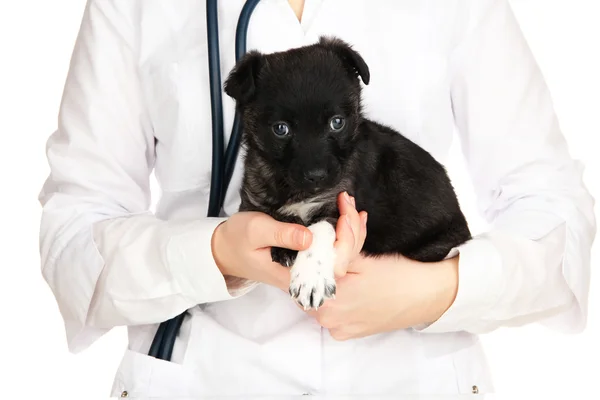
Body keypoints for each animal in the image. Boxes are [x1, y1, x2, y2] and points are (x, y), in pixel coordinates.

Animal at [223, 36, 472, 310]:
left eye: (337, 122)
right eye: (281, 129)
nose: (317, 175)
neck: (296, 190)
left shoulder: (339, 204)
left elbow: (318, 229)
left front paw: (310, 277)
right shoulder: (251, 204)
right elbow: (276, 215)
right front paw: (287, 245)